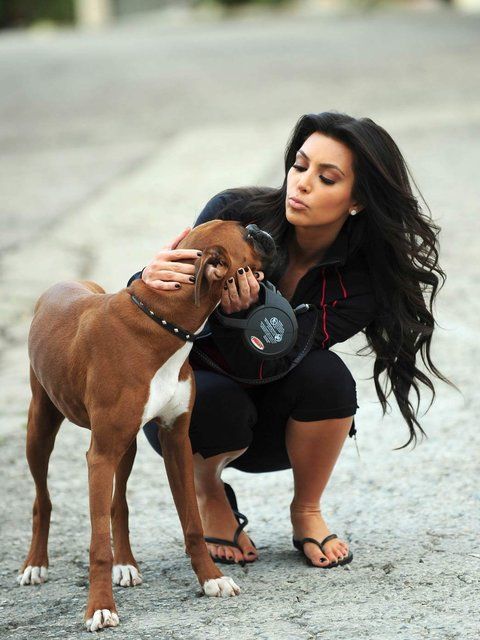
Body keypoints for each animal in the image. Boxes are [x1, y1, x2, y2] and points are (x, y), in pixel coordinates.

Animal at [18, 220, 276, 632]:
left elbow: (191, 523)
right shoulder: (100, 455)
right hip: (41, 429)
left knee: (118, 504)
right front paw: (100, 608)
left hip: (126, 447)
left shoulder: (176, 441)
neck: (162, 323)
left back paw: (126, 564)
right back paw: (35, 565)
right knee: (42, 500)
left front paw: (211, 579)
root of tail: (64, 283)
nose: (258, 226)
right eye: (246, 235)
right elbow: (97, 545)